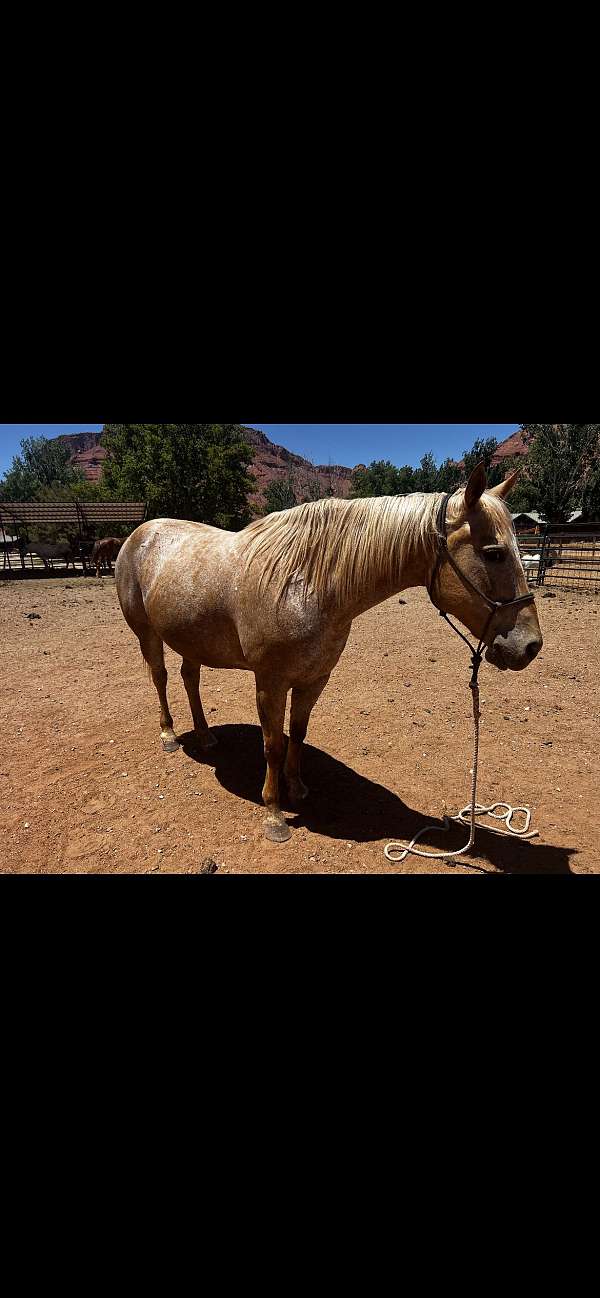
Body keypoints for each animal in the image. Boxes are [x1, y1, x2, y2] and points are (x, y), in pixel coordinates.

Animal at [115, 464, 543, 845]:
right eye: (494, 553)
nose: (531, 646)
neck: (306, 582)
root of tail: (140, 533)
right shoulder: (270, 683)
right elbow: (273, 745)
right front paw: (275, 815)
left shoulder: (315, 678)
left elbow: (298, 734)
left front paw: (297, 788)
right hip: (148, 634)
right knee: (160, 678)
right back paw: (169, 735)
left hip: (191, 639)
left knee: (190, 679)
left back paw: (205, 737)